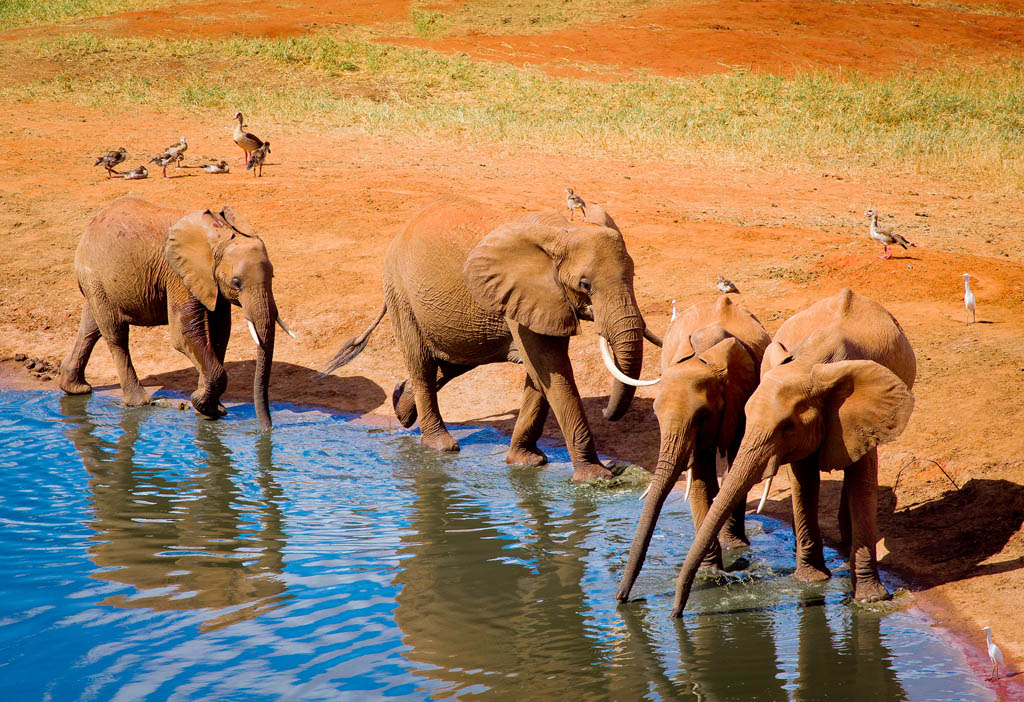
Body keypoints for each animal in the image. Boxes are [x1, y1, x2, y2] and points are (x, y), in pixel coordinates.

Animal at [58, 195, 292, 431]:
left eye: (273, 276)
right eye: (236, 282)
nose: (267, 430)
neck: (219, 233)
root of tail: (92, 223)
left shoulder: (211, 280)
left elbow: (220, 333)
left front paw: (209, 409)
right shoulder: (178, 274)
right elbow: (184, 334)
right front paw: (201, 403)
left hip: (98, 282)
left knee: (91, 325)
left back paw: (75, 388)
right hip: (94, 274)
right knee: (116, 334)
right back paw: (139, 403)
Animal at [321, 198, 663, 483]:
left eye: (633, 275)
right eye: (585, 284)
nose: (606, 411)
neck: (560, 231)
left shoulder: (542, 300)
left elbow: (541, 374)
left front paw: (526, 463)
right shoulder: (528, 291)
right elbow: (553, 370)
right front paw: (597, 479)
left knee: (452, 361)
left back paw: (400, 406)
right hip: (400, 292)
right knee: (422, 363)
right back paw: (440, 446)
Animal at [610, 296, 770, 605]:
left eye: (703, 416)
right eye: (655, 413)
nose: (621, 598)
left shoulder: (743, 395)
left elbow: (736, 459)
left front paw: (733, 552)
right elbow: (700, 478)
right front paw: (710, 572)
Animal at [667, 288, 917, 618]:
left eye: (786, 426)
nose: (675, 615)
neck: (811, 366)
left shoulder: (864, 414)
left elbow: (862, 482)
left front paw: (871, 600)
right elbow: (804, 481)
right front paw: (811, 581)